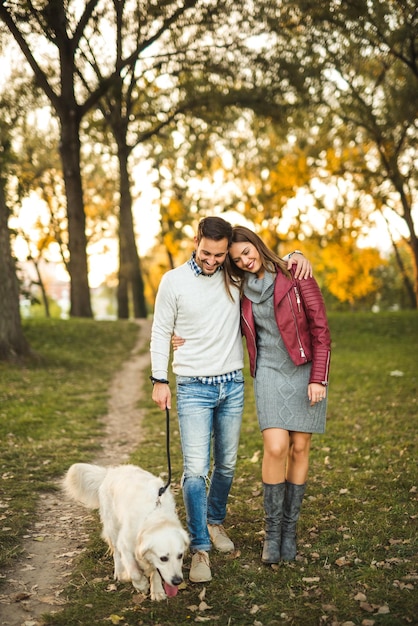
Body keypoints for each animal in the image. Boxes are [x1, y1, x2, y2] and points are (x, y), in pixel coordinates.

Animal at [63, 458, 189, 600]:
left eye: (180, 555)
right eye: (163, 558)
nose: (177, 581)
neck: (155, 517)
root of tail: (111, 471)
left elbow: (155, 571)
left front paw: (157, 591)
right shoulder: (125, 544)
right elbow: (134, 571)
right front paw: (142, 585)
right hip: (113, 528)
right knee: (116, 553)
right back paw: (119, 573)